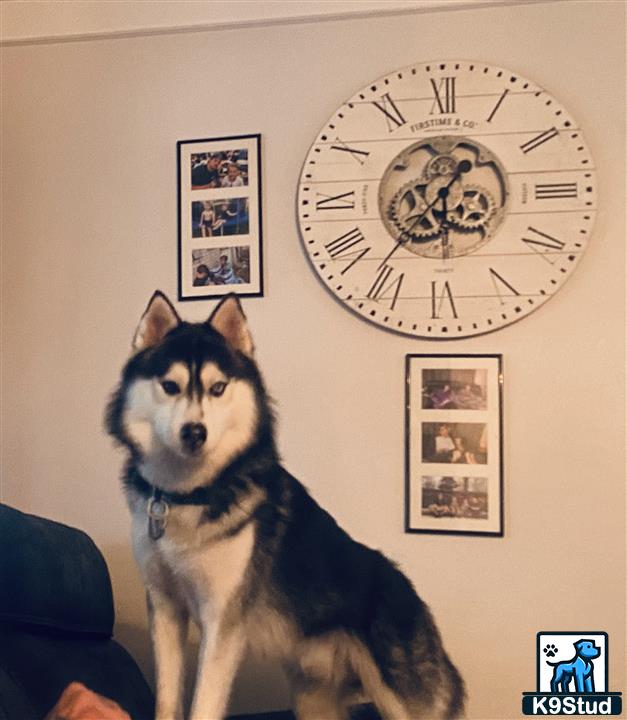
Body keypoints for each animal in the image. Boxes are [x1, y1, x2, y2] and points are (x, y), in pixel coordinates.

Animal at [105, 290, 464, 716]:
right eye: (170, 386)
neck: (188, 494)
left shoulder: (222, 622)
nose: (195, 432)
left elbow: (204, 704)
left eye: (218, 388)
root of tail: (418, 603)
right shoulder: (164, 609)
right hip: (313, 700)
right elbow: (167, 699)